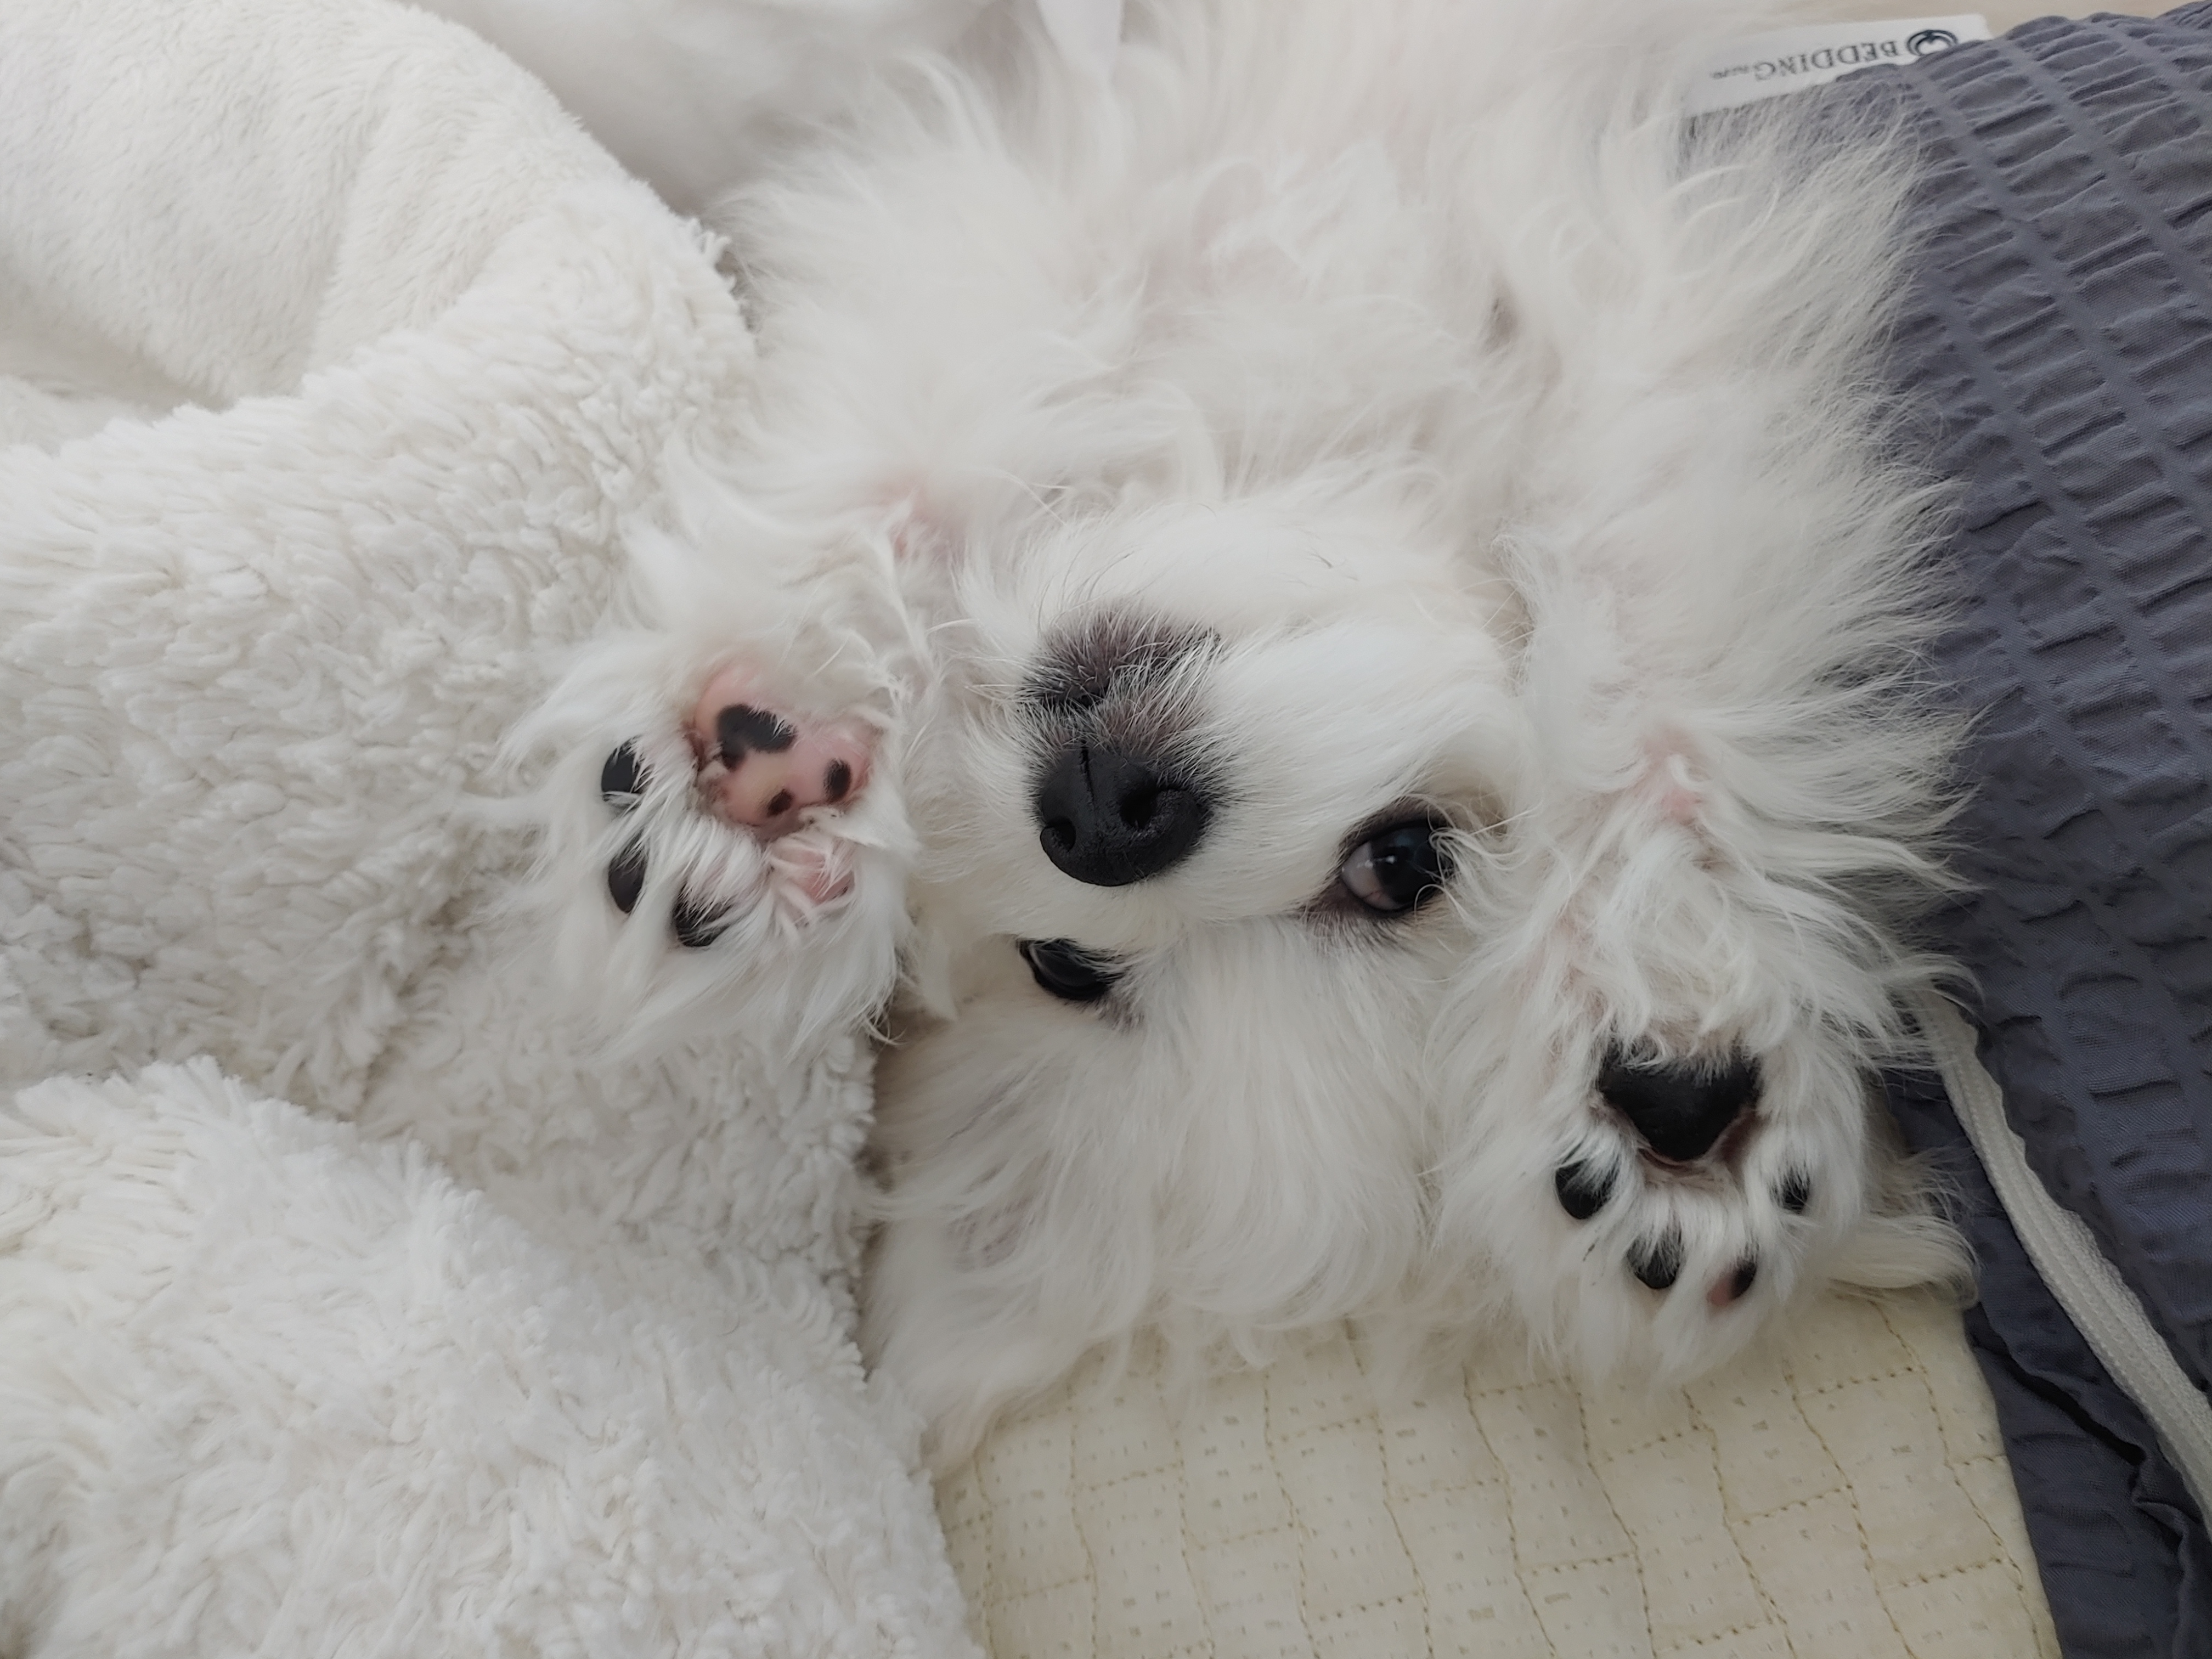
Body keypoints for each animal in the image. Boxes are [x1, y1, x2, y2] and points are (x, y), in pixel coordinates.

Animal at [456, 0, 1969, 1466]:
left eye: (1401, 863)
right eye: (1066, 965)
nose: (1104, 810)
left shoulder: (1637, 316)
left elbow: (1637, 599)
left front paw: (1668, 1004)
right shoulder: (1104, 199)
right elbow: (936, 422)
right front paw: (776, 718)